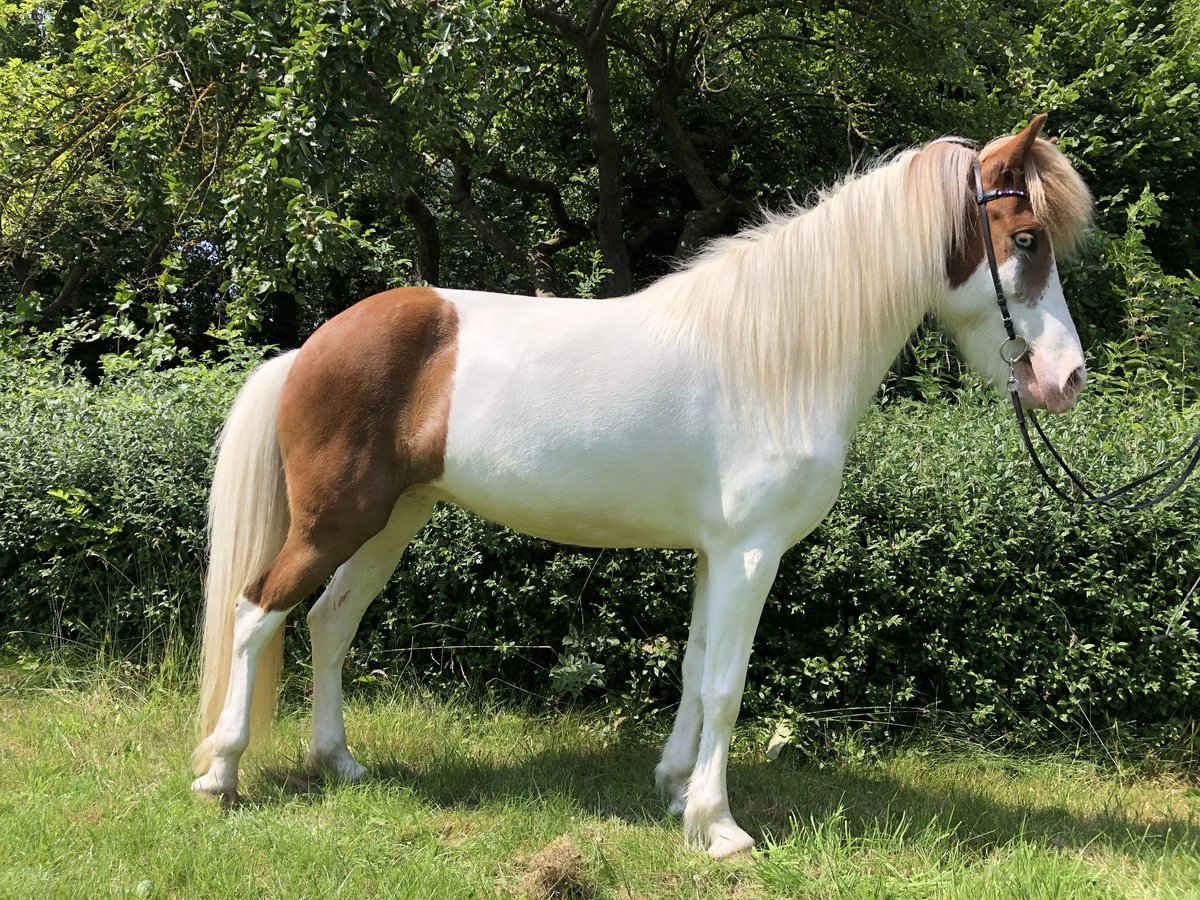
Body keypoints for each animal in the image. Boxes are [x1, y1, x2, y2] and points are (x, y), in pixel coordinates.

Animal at [190, 115, 1093, 858]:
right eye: (1025, 238)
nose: (1067, 379)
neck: (778, 354)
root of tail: (310, 347)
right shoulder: (751, 553)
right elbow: (727, 685)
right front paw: (718, 827)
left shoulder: (715, 554)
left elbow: (695, 669)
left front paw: (674, 790)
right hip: (336, 520)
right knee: (256, 611)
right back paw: (220, 775)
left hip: (392, 519)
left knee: (330, 620)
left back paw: (340, 763)